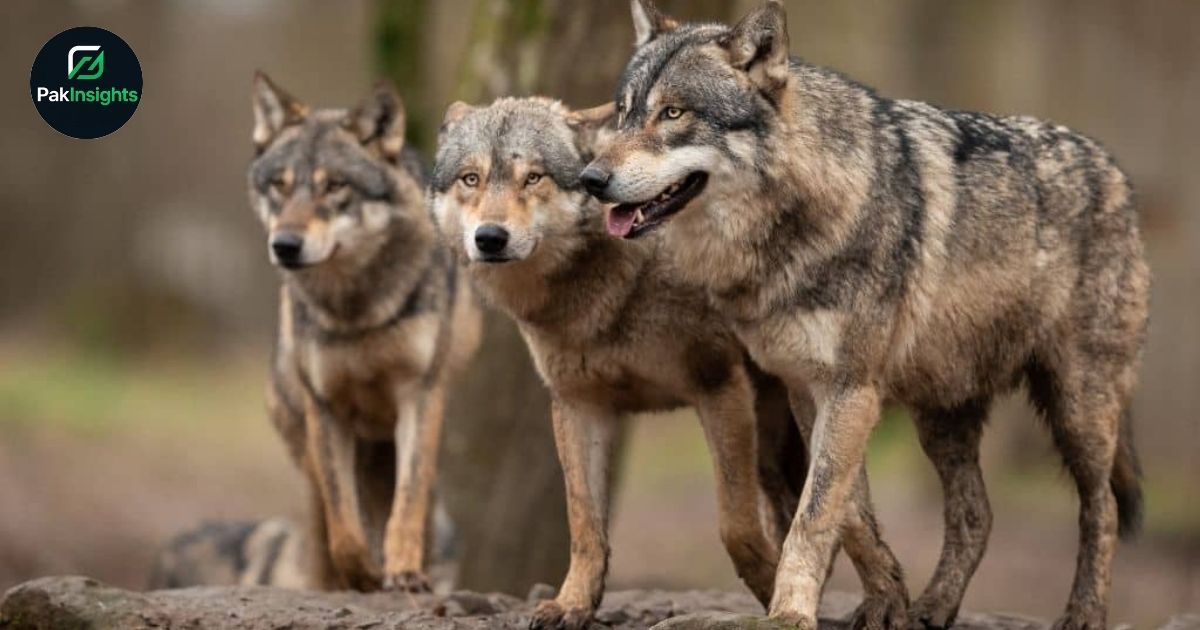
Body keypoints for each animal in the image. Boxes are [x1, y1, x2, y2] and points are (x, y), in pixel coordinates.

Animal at [248, 73, 480, 592]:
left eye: (334, 186)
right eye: (279, 186)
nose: (285, 245)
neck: (357, 310)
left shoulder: (419, 396)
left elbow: (407, 505)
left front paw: (404, 571)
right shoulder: (326, 409)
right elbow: (345, 531)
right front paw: (365, 577)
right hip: (311, 450)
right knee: (323, 528)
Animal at [428, 96, 810, 630]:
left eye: (533, 178)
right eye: (471, 178)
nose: (490, 237)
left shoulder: (718, 387)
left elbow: (735, 527)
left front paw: (775, 596)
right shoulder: (578, 407)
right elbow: (585, 524)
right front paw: (572, 604)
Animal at [582, 2, 1150, 629]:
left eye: (674, 113)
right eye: (624, 112)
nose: (590, 180)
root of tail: (1113, 168)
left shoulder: (852, 389)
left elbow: (814, 514)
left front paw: (791, 612)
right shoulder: (809, 389)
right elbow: (846, 510)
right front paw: (886, 599)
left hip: (1078, 408)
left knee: (1102, 510)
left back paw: (1083, 613)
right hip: (943, 415)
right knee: (977, 514)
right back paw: (932, 606)